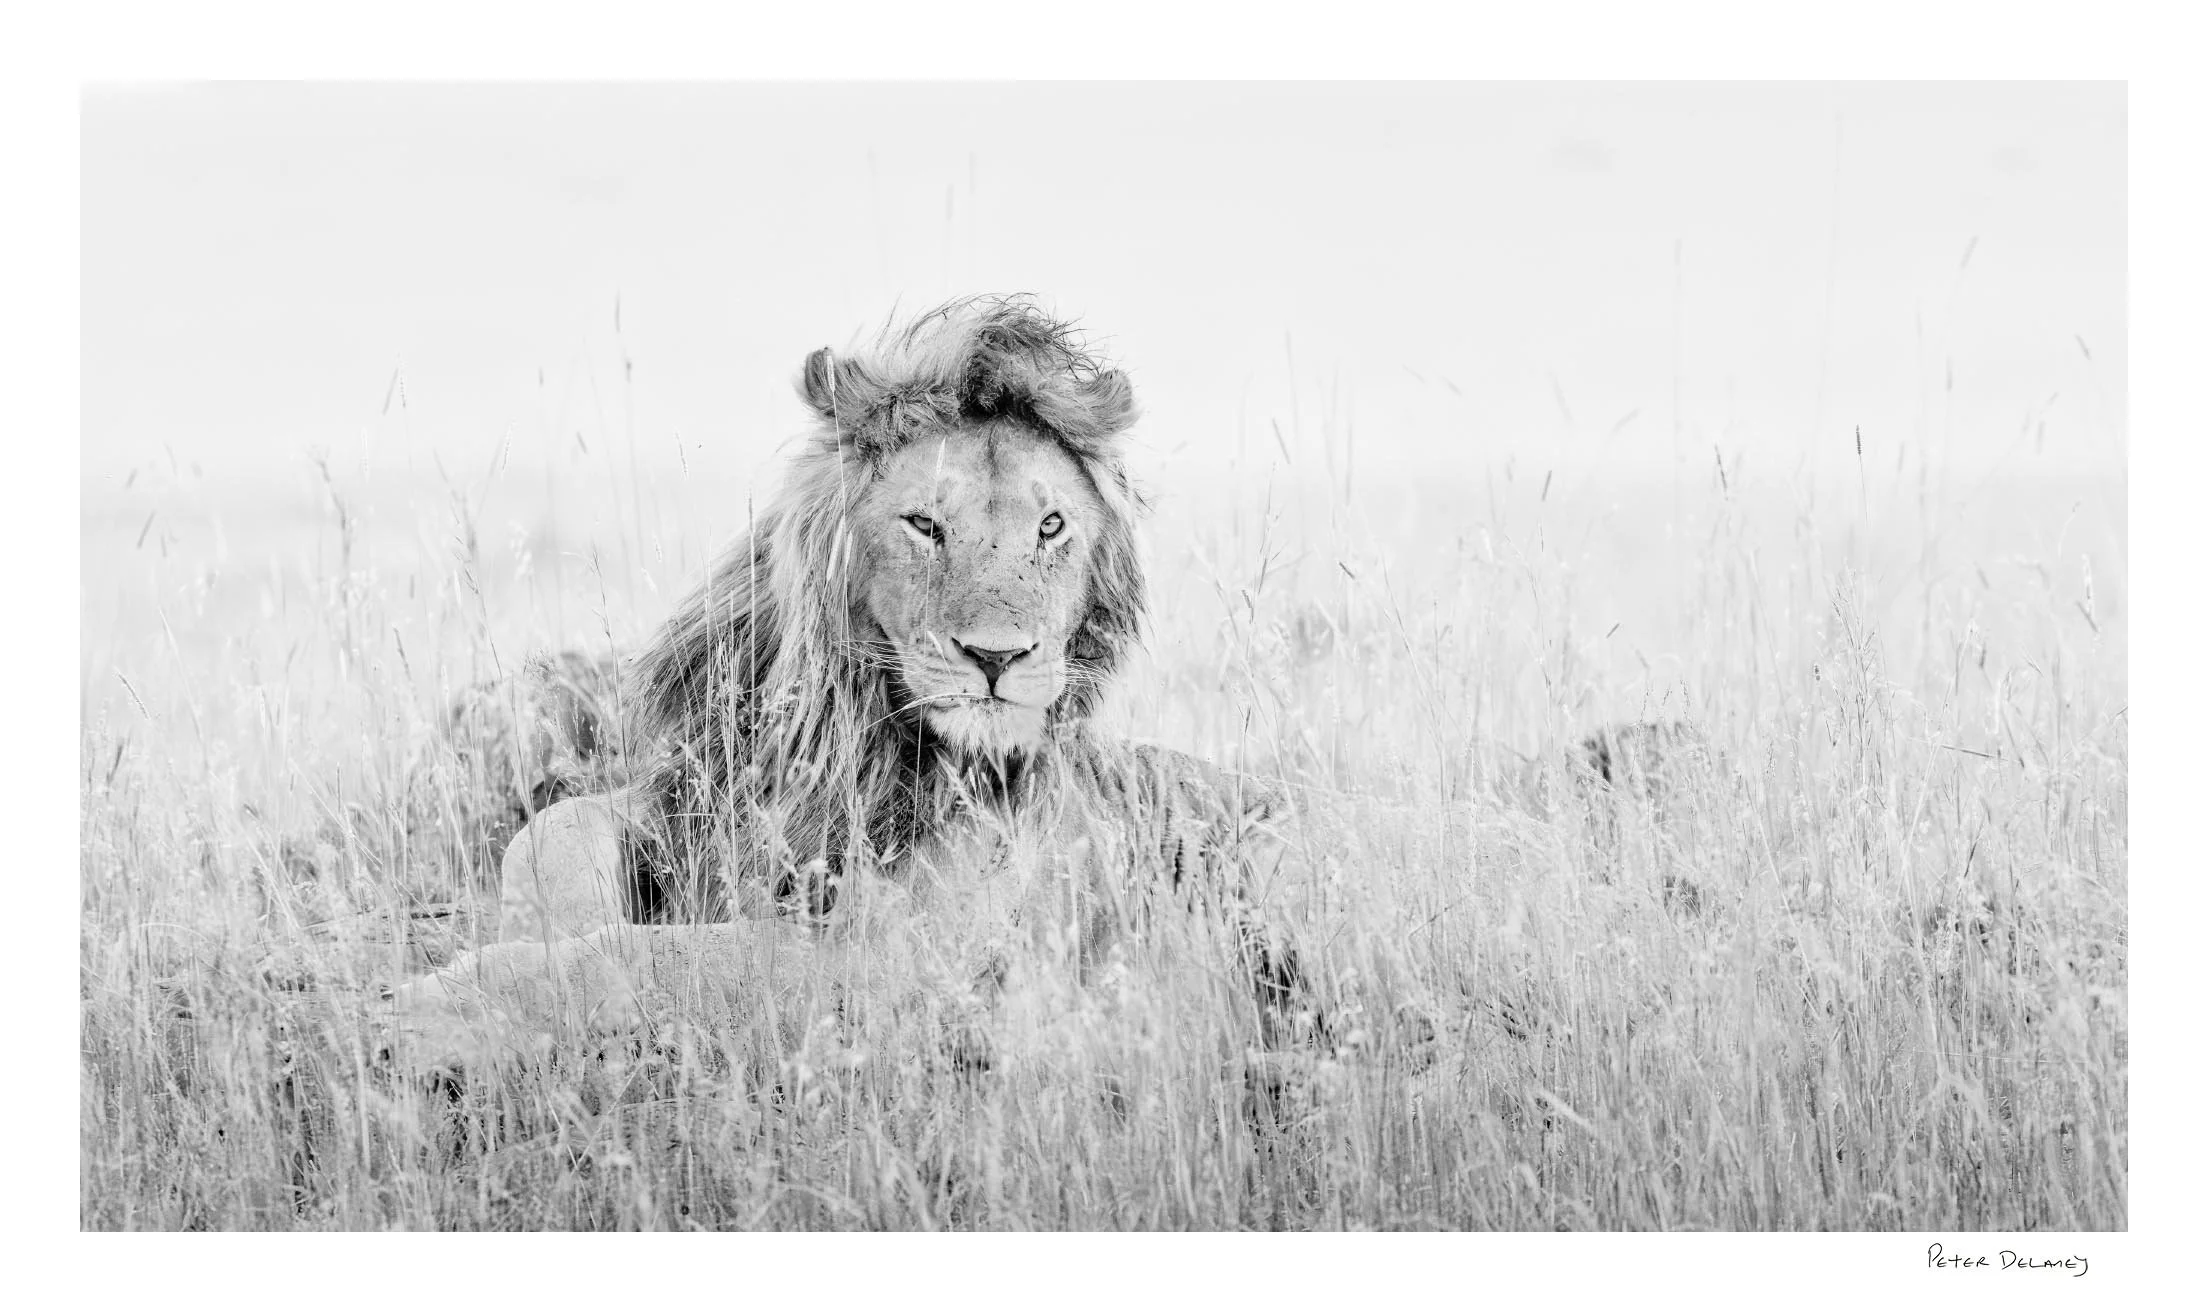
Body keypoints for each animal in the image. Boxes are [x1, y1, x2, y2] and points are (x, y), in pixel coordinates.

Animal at [392, 297, 1320, 1074]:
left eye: (1052, 526)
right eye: (925, 524)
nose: (998, 657)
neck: (852, 725)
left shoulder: (902, 954)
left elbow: (675, 958)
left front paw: (445, 1009)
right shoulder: (695, 802)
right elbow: (550, 832)